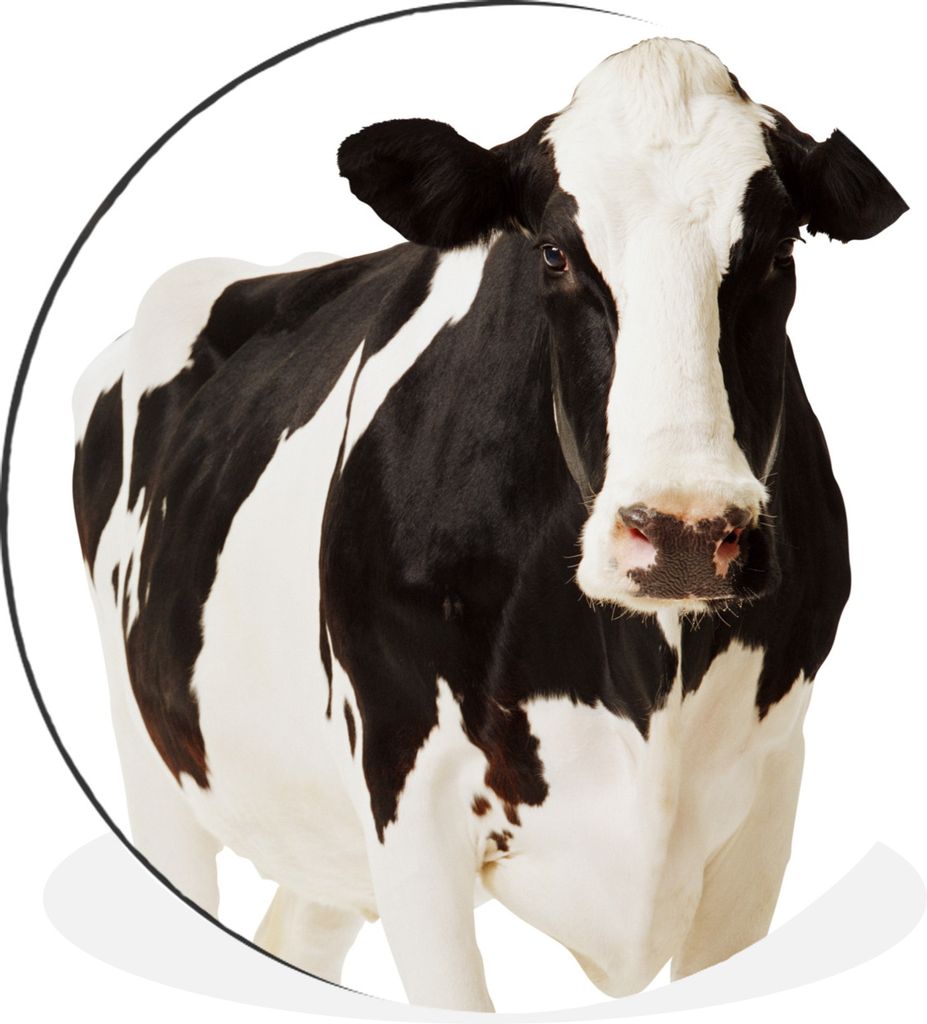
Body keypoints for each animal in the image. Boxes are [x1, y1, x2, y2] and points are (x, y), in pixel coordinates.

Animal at [72, 37, 907, 1011]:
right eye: (551, 253)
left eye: (778, 251)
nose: (684, 534)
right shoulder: (407, 799)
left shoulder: (767, 799)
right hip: (153, 762)